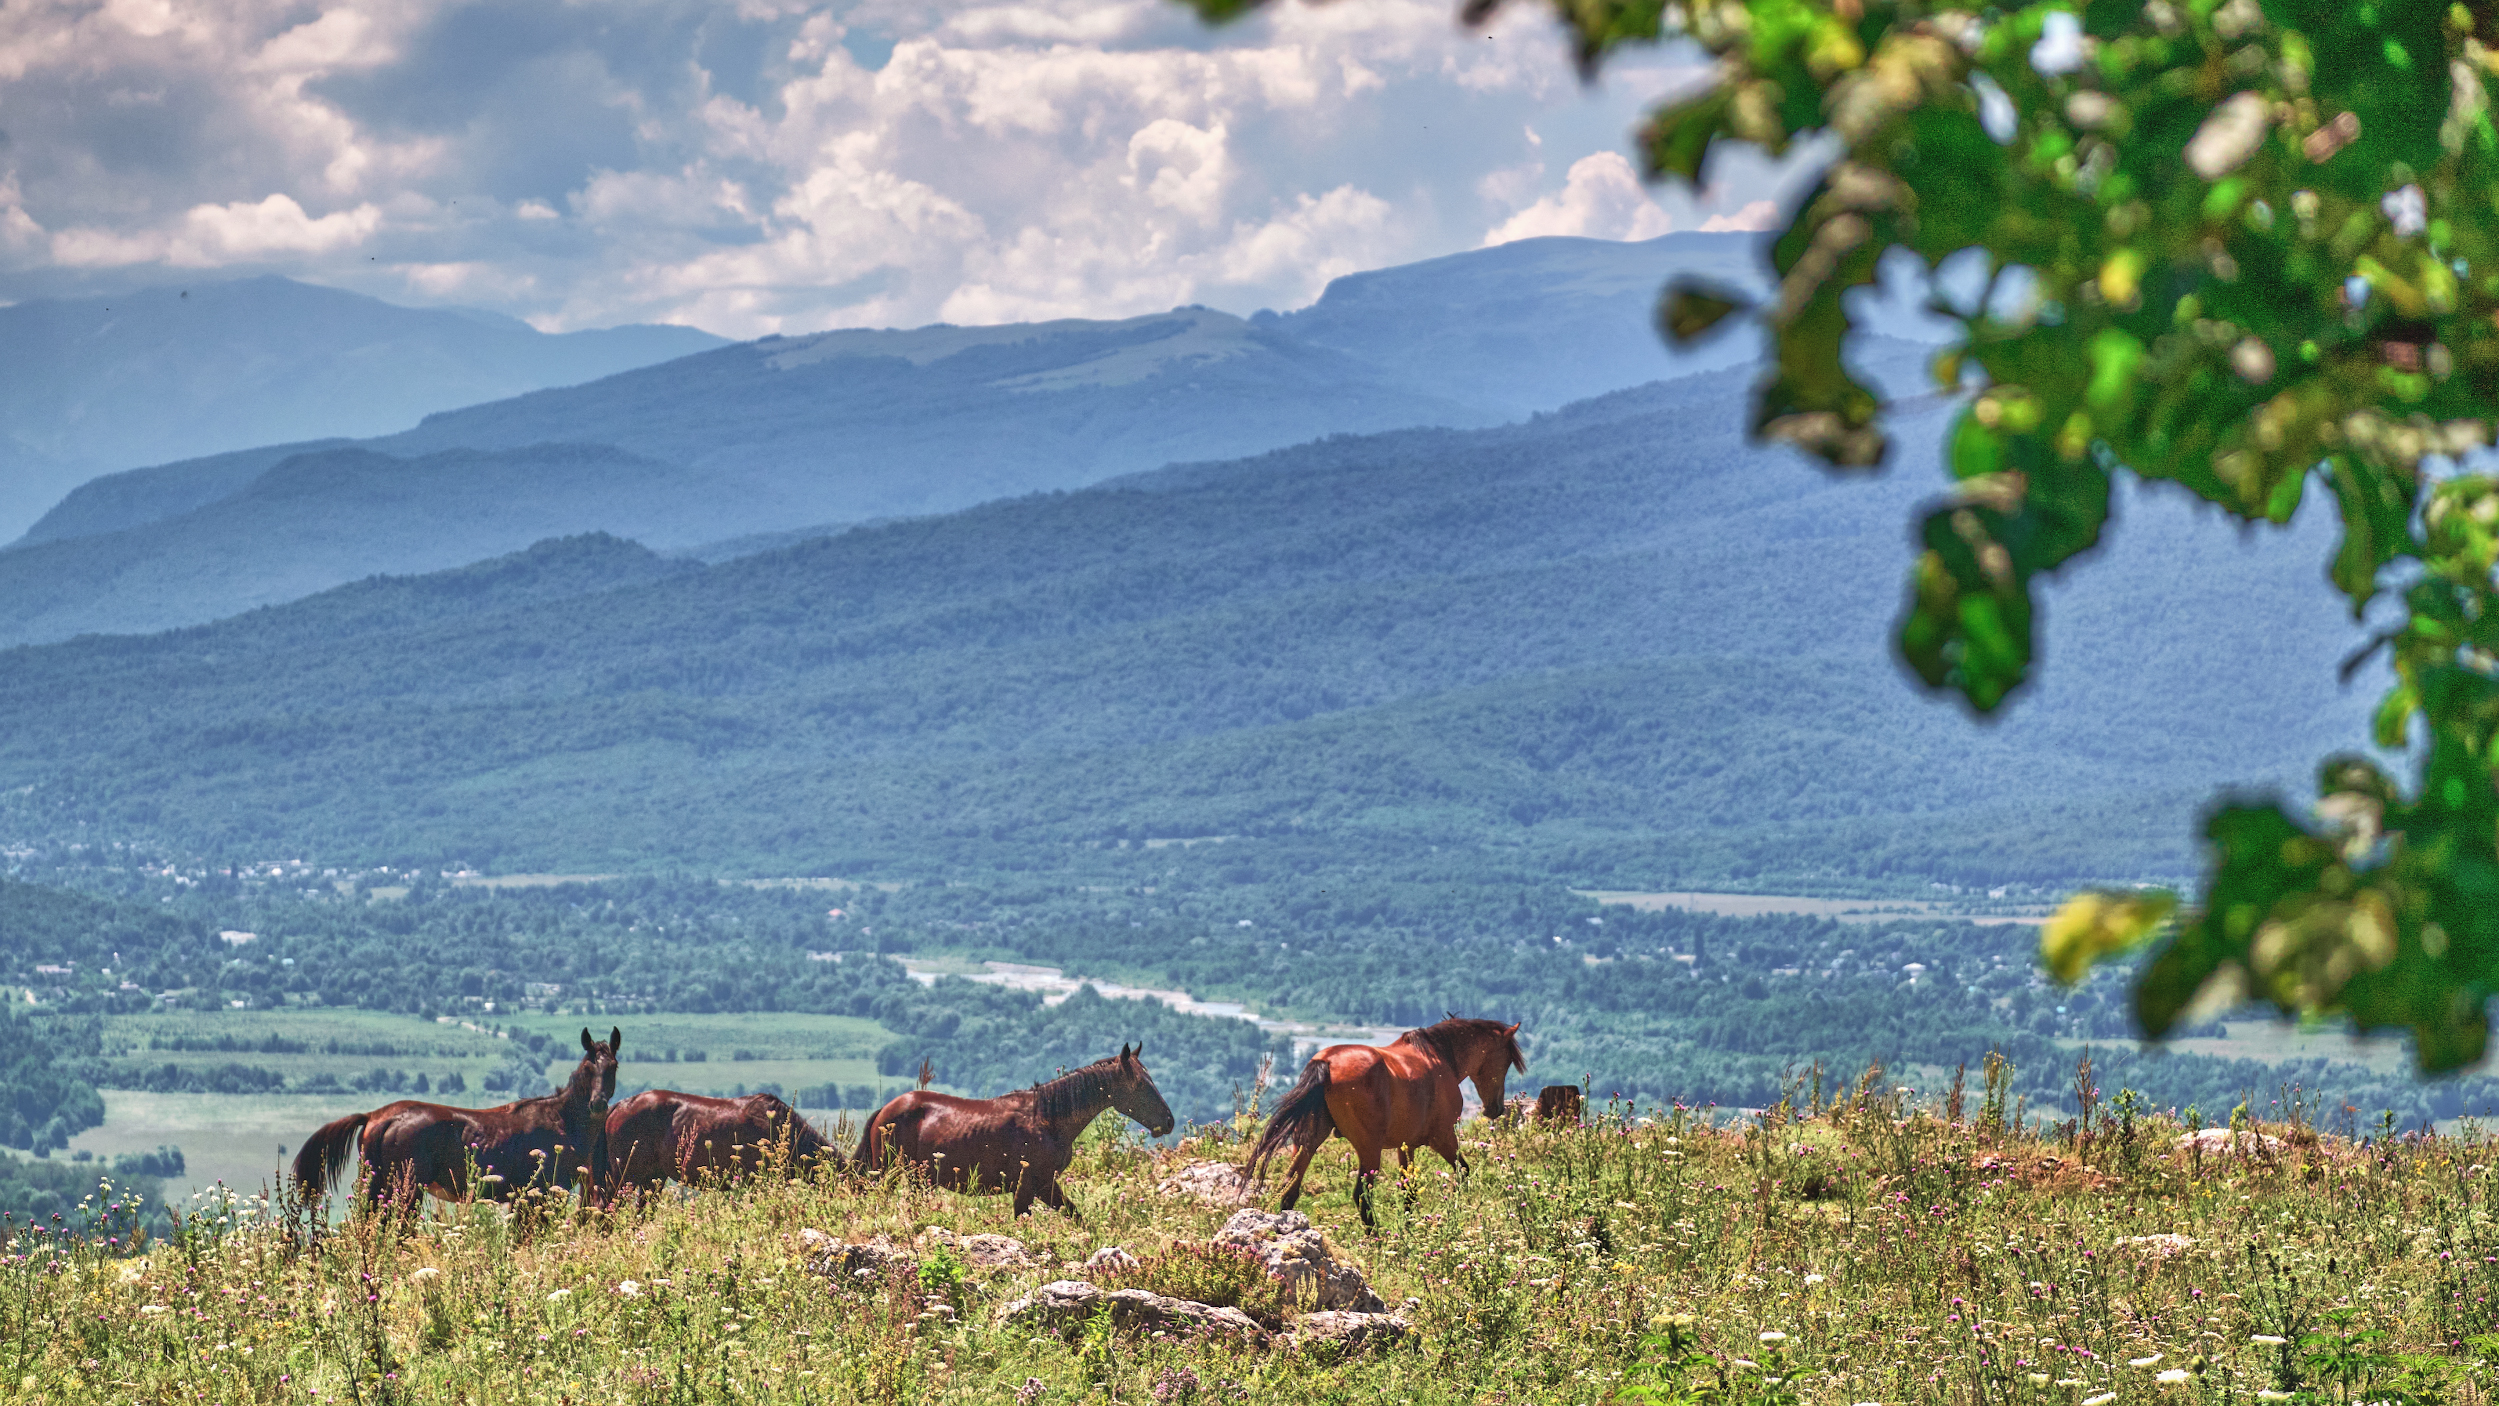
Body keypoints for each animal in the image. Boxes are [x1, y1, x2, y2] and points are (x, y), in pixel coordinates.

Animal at [293, 1028, 624, 1213]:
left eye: (613, 1067)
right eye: (588, 1067)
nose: (597, 1103)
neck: (561, 1120)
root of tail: (377, 1116)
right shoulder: (537, 1195)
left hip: (378, 1187)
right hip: (405, 1190)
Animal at [854, 1043, 1174, 1223]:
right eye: (1141, 1085)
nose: (1168, 1122)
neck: (1047, 1119)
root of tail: (885, 1110)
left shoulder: (1046, 1185)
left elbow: (1078, 1218)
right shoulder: (1027, 1186)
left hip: (918, 1180)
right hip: (886, 1172)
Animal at [1249, 1018, 1519, 1228]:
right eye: (1506, 1061)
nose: (1495, 1109)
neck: (1438, 1057)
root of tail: (1325, 1063)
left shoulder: (1406, 1146)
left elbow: (1409, 1190)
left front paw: (1410, 1226)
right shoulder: (1442, 1137)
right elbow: (1463, 1171)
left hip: (1307, 1142)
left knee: (1290, 1187)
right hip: (1369, 1149)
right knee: (1361, 1196)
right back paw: (1378, 1239)